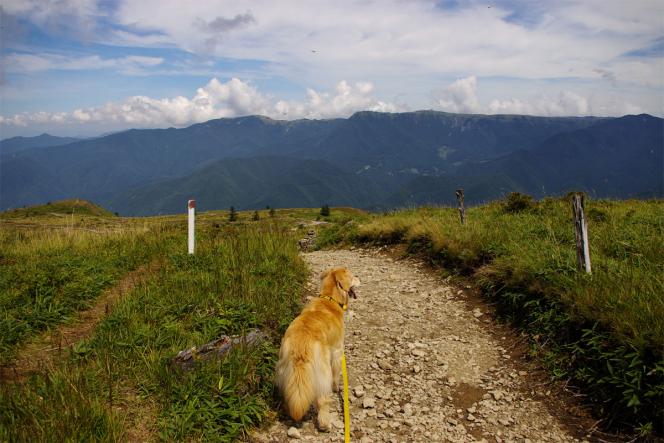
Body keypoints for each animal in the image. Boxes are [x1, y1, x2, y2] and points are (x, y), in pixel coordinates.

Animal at [274, 268, 360, 430]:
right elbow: (336, 375)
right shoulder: (337, 351)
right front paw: (337, 388)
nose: (359, 278)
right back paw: (324, 422)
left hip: (284, 370)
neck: (330, 299)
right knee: (322, 399)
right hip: (323, 371)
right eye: (352, 277)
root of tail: (301, 347)